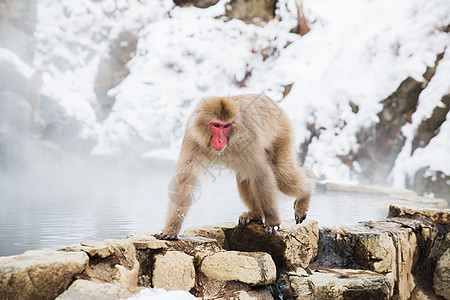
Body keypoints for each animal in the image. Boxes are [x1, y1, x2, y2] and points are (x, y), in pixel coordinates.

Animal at [154, 93, 312, 239]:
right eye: (216, 125)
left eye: (226, 126)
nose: (220, 140)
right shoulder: (192, 137)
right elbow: (185, 180)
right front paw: (170, 230)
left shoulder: (245, 137)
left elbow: (261, 174)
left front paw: (273, 222)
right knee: (245, 176)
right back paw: (255, 214)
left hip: (282, 133)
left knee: (280, 174)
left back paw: (307, 191)